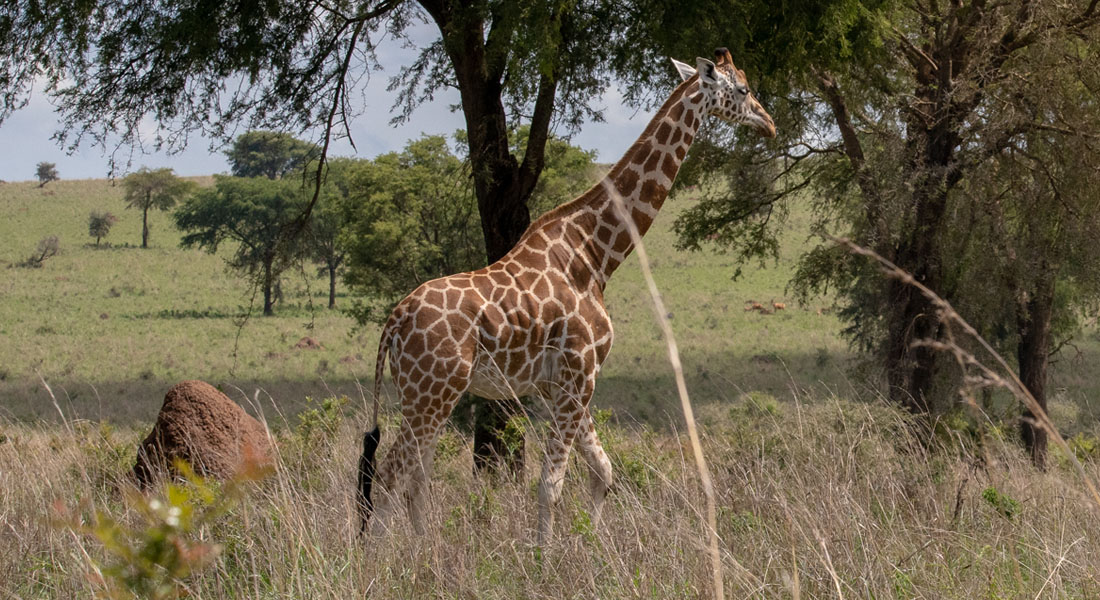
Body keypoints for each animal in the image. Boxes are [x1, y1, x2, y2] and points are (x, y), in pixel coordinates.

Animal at [360, 47, 774, 541]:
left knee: (414, 479)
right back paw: (384, 558)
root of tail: (394, 322)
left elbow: (602, 471)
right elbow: (551, 484)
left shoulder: (558, 382)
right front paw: (545, 555)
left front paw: (593, 546)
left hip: (425, 395)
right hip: (432, 392)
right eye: (743, 89)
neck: (595, 255)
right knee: (390, 474)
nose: (769, 124)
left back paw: (425, 551)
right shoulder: (580, 371)